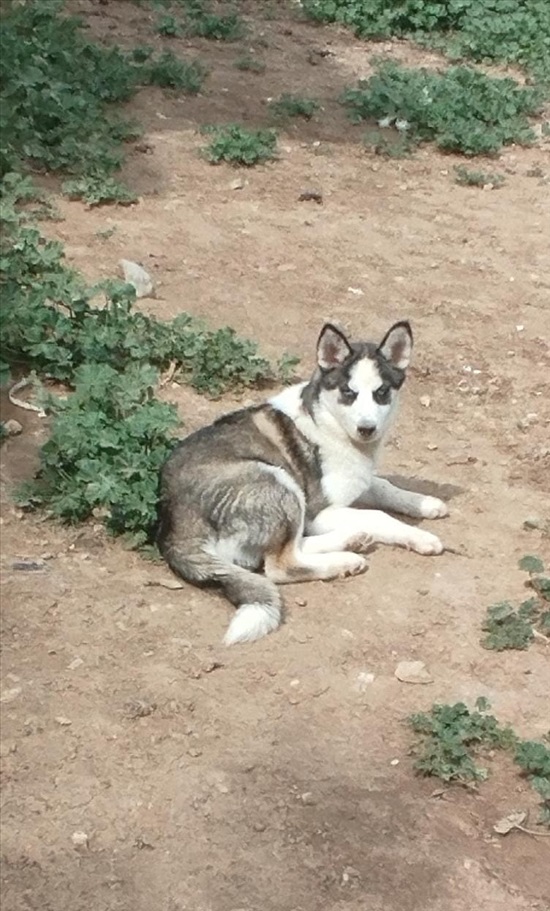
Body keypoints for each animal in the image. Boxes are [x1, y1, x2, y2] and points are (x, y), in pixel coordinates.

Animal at [158, 324, 448, 644]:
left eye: (381, 392)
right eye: (348, 392)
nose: (367, 429)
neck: (328, 421)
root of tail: (176, 527)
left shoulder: (355, 484)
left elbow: (385, 486)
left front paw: (425, 503)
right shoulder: (317, 512)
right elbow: (379, 515)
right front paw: (420, 538)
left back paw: (351, 539)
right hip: (280, 484)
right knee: (281, 565)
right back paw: (344, 560)